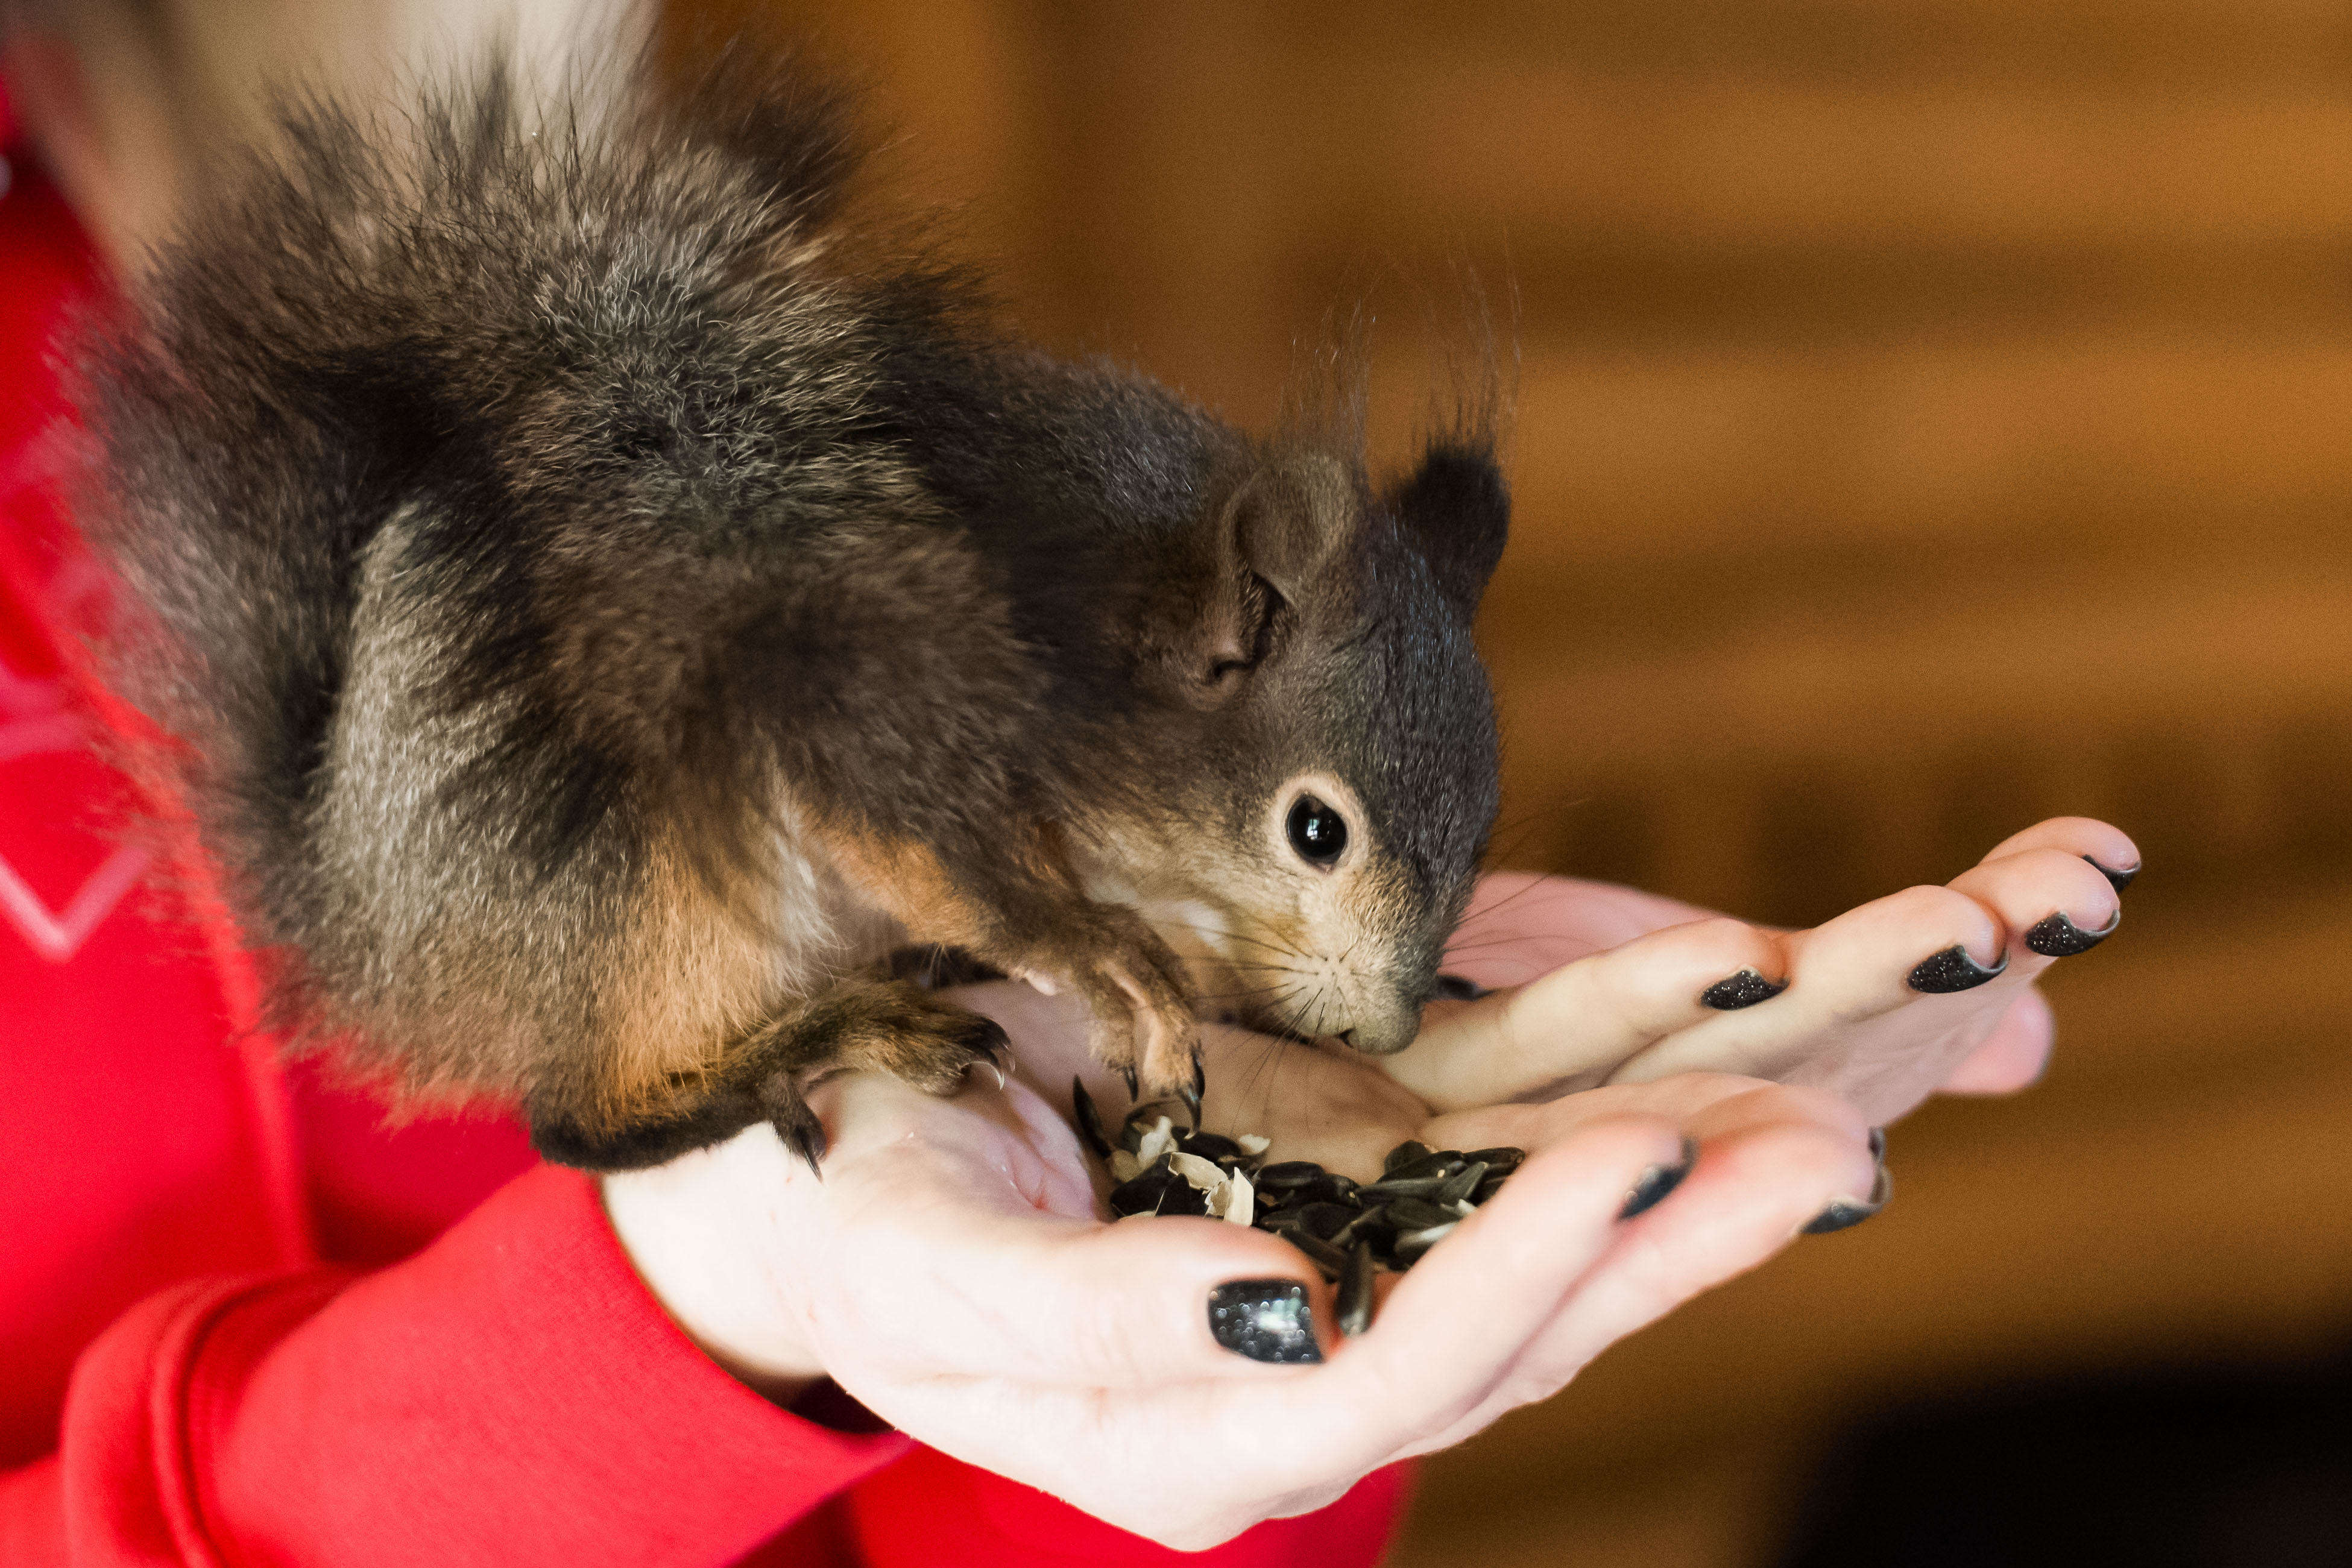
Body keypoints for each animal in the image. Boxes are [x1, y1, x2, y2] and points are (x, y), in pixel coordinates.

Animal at [73, 40, 1515, 1175]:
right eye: (1316, 831)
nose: (1388, 1030)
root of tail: (373, 943)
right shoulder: (870, 724)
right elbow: (958, 874)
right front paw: (1108, 956)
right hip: (649, 879)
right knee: (576, 1117)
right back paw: (803, 1040)